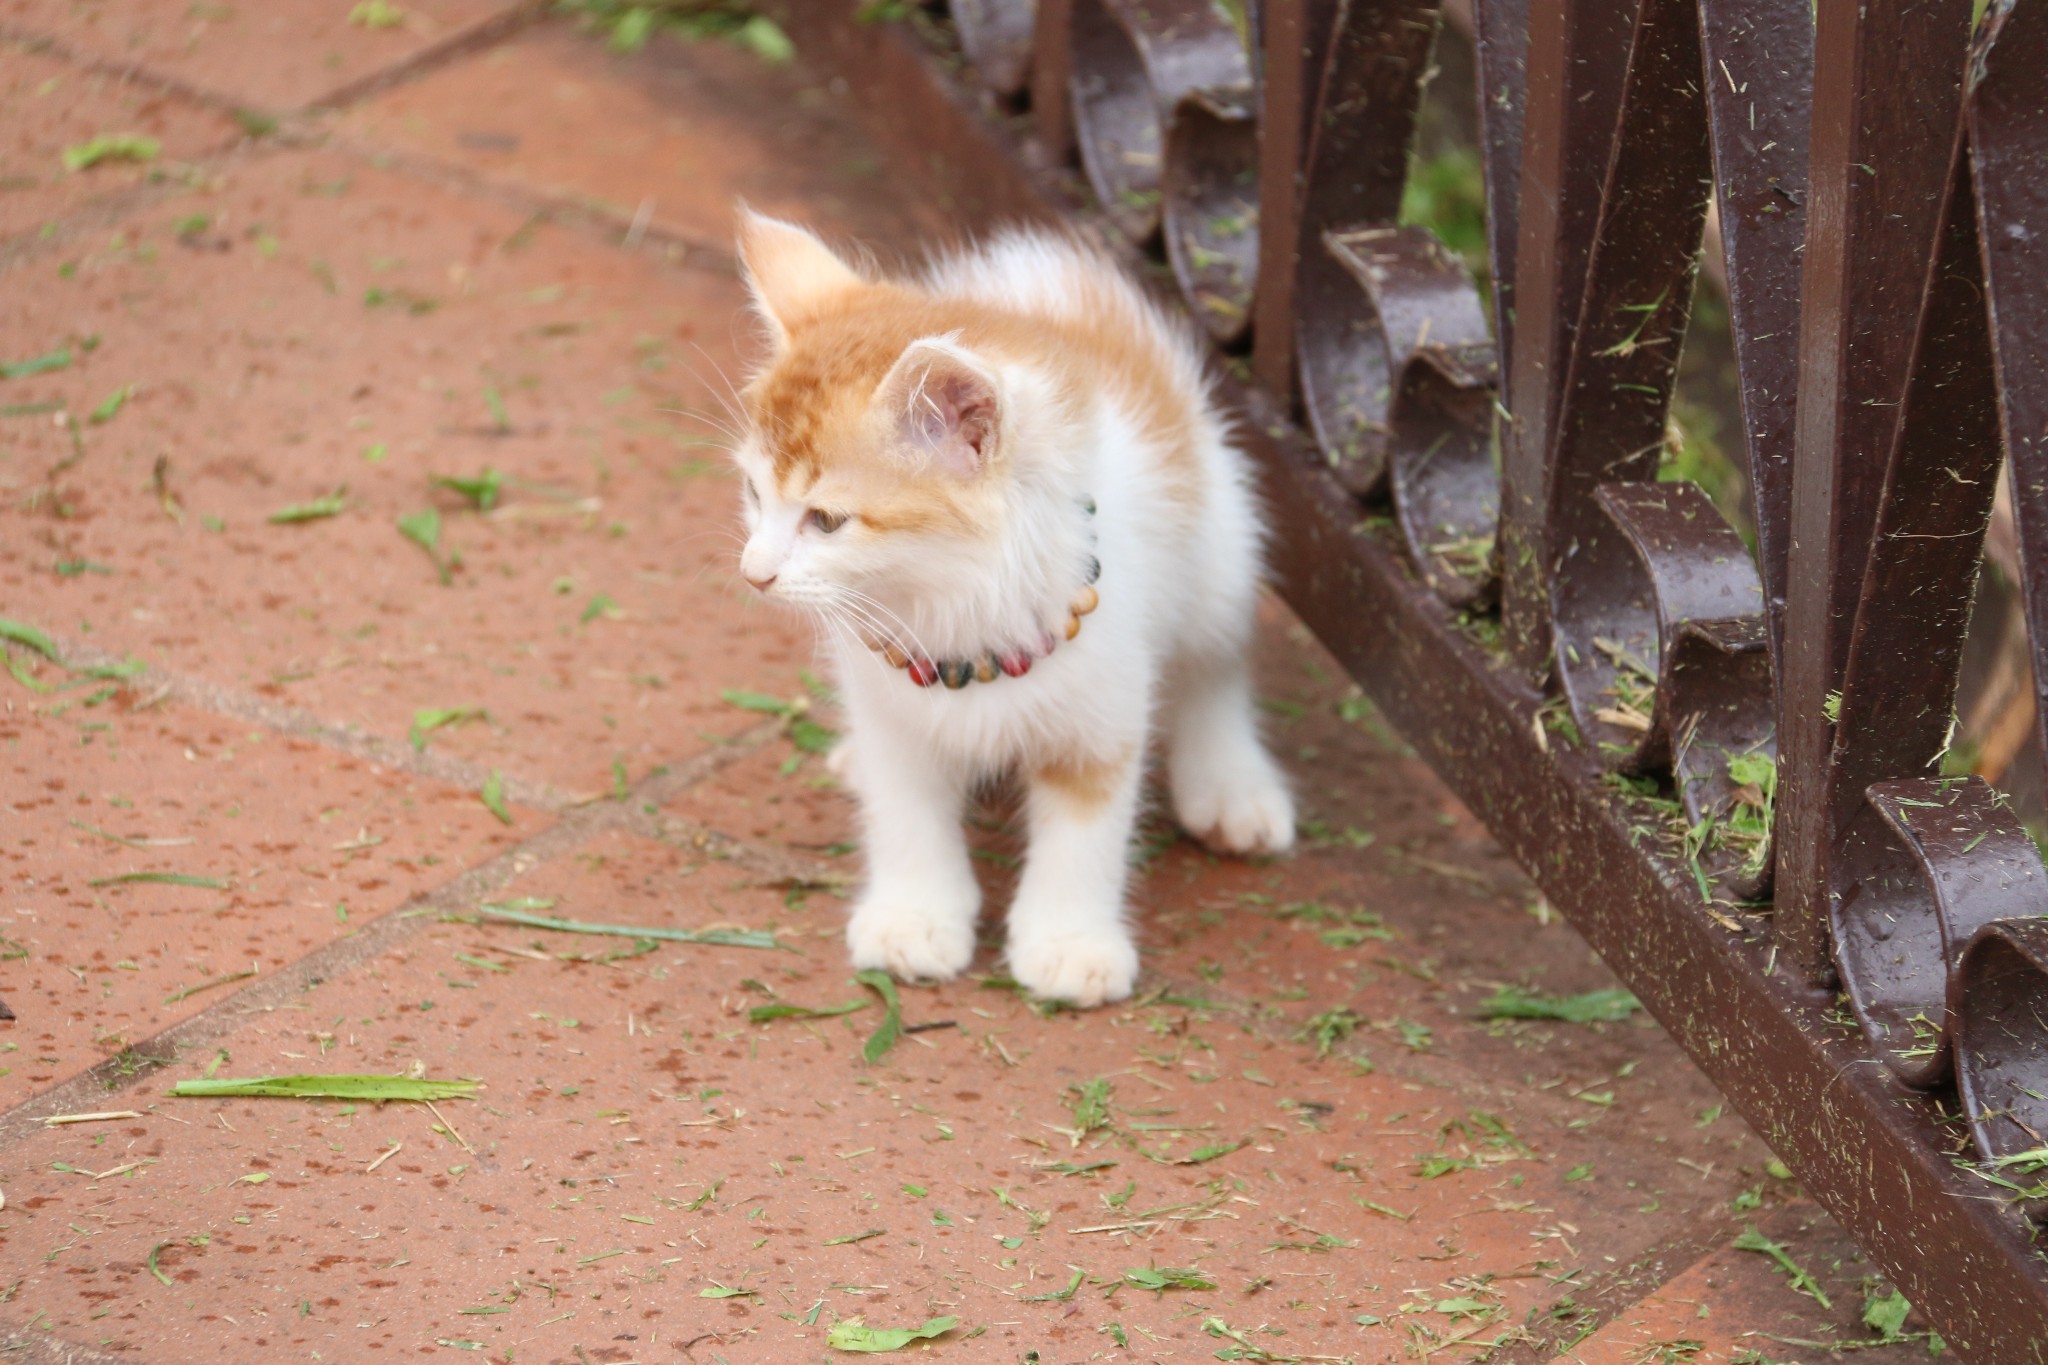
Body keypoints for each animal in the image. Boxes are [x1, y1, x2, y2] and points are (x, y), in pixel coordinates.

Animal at [729, 210, 1286, 1002]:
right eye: (754, 493)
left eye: (826, 520)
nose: (754, 573)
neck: (954, 598)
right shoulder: (891, 716)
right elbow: (904, 810)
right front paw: (915, 916)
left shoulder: (1102, 712)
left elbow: (1086, 830)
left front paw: (1069, 942)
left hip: (1220, 550)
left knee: (1216, 663)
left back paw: (1232, 785)